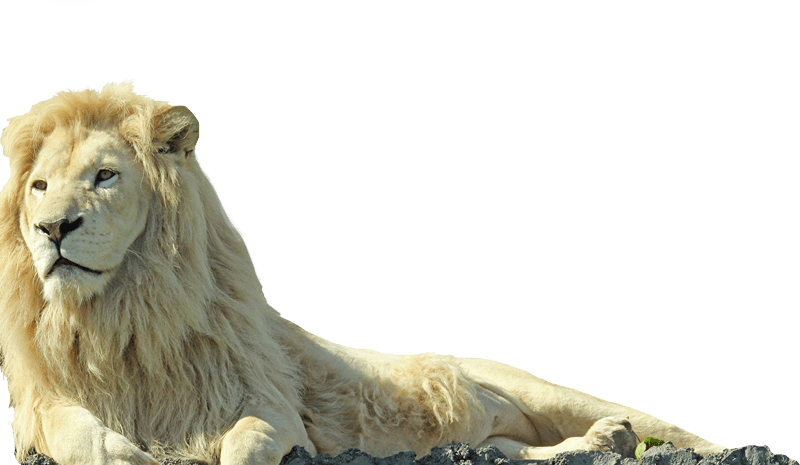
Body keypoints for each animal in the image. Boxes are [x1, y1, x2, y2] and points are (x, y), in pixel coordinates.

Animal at [0, 82, 725, 465]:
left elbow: (249, 441)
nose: (53, 230)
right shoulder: (44, 403)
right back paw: (604, 442)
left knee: (669, 431)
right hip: (486, 441)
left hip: (544, 391)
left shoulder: (268, 402)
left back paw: (631, 434)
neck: (125, 311)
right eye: (39, 186)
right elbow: (85, 434)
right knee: (514, 452)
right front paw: (132, 451)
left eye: (104, 175)